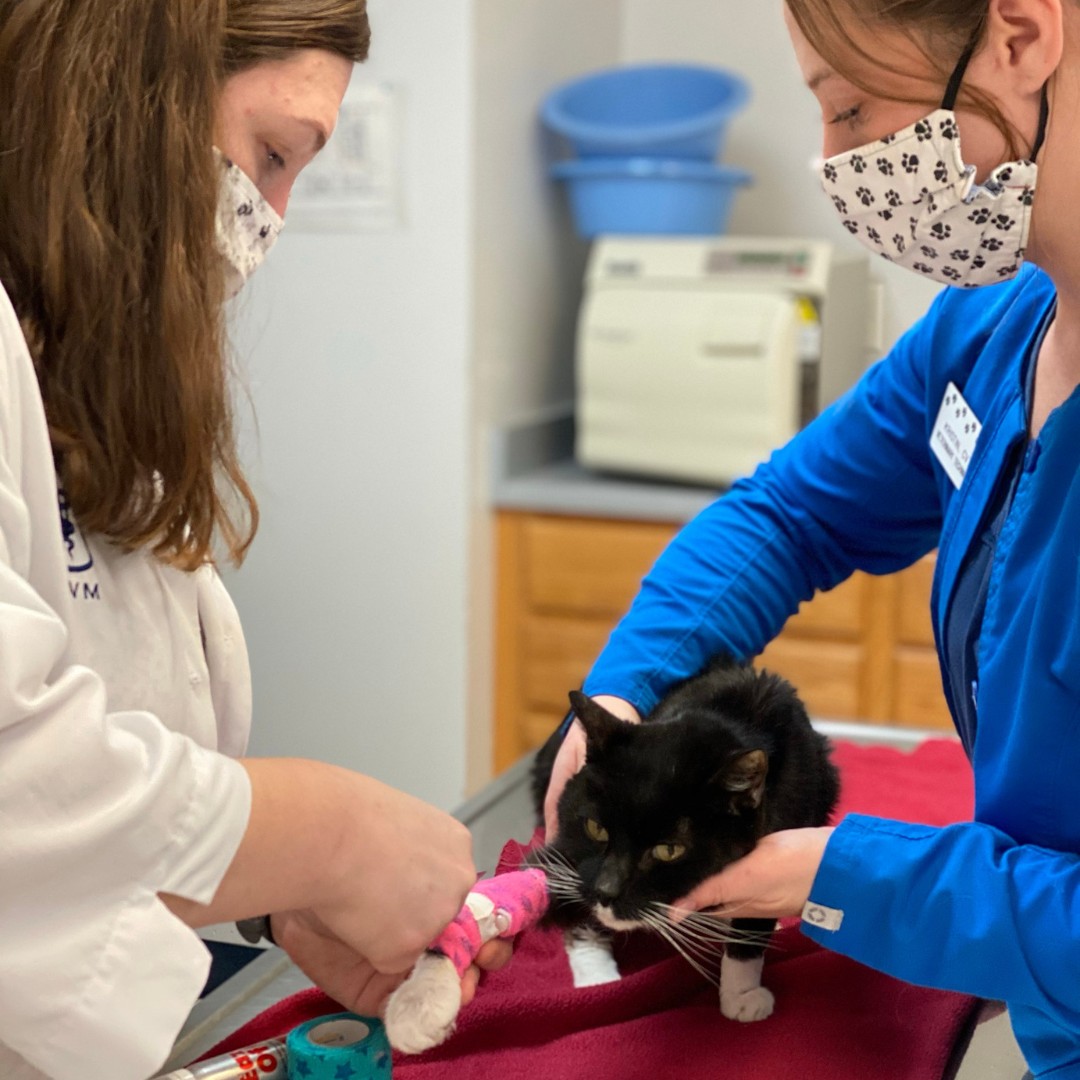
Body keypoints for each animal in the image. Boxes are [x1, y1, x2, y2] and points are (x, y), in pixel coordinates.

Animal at [527, 656, 838, 1019]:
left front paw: (741, 993)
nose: (606, 891)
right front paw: (595, 974)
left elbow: (751, 926)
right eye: (596, 828)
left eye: (668, 850)